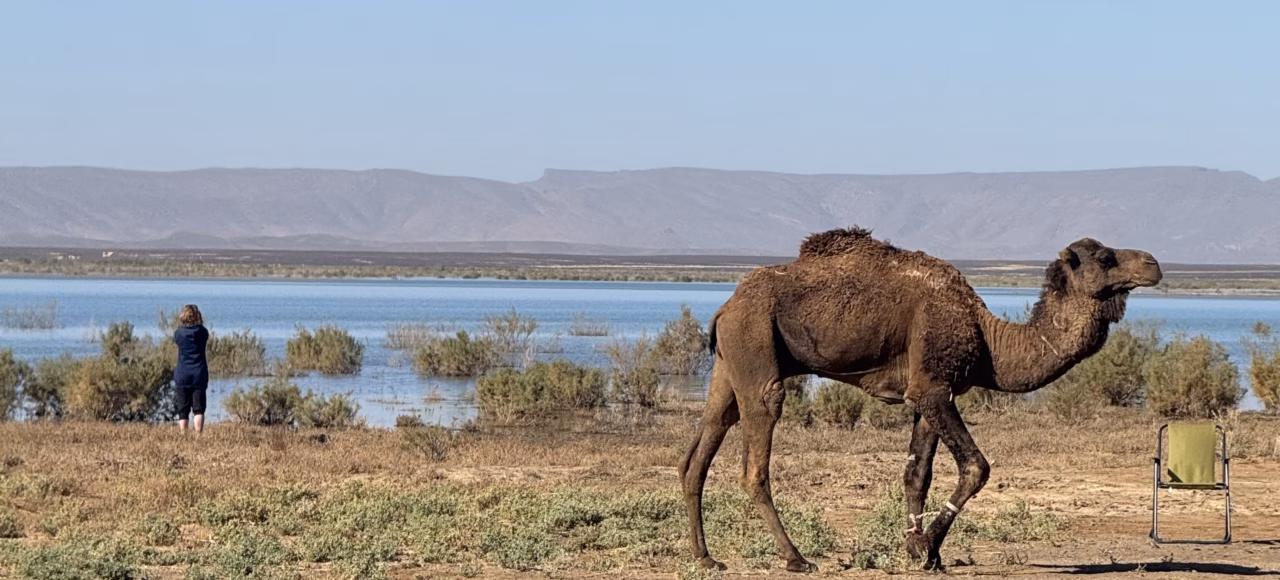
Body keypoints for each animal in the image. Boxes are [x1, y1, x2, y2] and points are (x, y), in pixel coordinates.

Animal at [677, 227, 1162, 572]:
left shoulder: (932, 390)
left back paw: (707, 558)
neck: (988, 338)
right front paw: (928, 548)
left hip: (728, 366)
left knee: (701, 447)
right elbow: (976, 467)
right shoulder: (931, 386)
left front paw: (918, 548)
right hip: (755, 348)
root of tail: (725, 307)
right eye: (1105, 257)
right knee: (755, 457)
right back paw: (796, 558)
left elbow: (916, 475)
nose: (1154, 263)